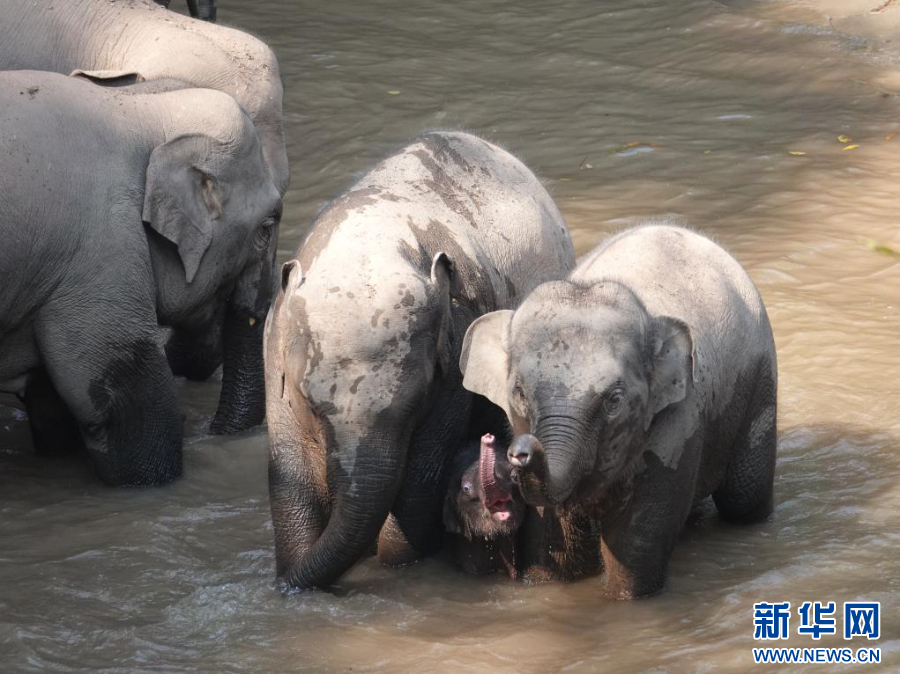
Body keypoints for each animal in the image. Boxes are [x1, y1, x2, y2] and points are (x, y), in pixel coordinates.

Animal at [0, 71, 281, 485]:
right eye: (268, 225)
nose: (208, 430)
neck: (139, 108)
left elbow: (51, 403)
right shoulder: (101, 252)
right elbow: (130, 403)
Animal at [265, 131, 576, 589]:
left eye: (414, 406)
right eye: (311, 404)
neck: (365, 242)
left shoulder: (455, 354)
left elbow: (419, 482)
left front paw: (392, 562)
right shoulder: (272, 354)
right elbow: (290, 474)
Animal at [460, 224, 777, 599]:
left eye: (614, 400)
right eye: (519, 392)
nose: (519, 451)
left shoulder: (678, 421)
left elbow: (635, 542)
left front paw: (625, 598)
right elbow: (551, 538)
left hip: (761, 376)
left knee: (743, 499)